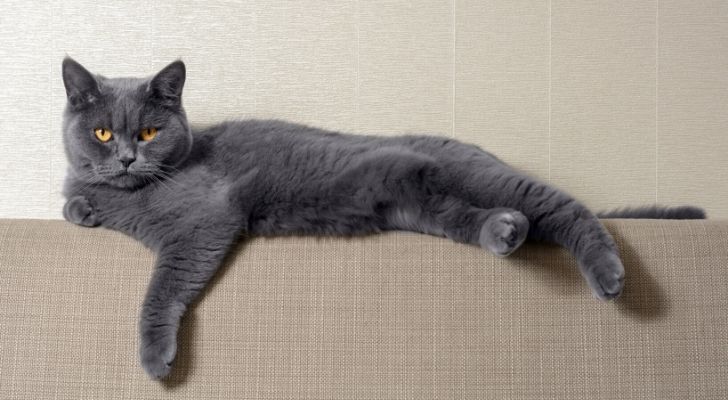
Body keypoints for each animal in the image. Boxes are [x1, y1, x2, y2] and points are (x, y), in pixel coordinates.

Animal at [61, 57, 704, 380]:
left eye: (149, 132)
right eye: (102, 132)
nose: (127, 157)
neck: (130, 196)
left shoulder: (202, 222)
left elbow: (160, 288)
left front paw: (155, 359)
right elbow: (70, 201)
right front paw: (79, 207)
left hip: (474, 177)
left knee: (567, 207)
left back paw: (609, 277)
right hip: (427, 207)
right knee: (501, 220)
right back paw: (505, 233)